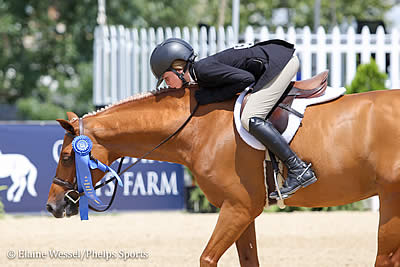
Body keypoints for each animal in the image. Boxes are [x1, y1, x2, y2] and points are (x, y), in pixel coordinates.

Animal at [48, 86, 400, 267]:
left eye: (66, 157)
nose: (52, 206)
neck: (196, 129)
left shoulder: (238, 208)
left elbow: (207, 258)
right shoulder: (243, 212)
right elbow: (248, 260)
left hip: (390, 198)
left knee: (385, 258)